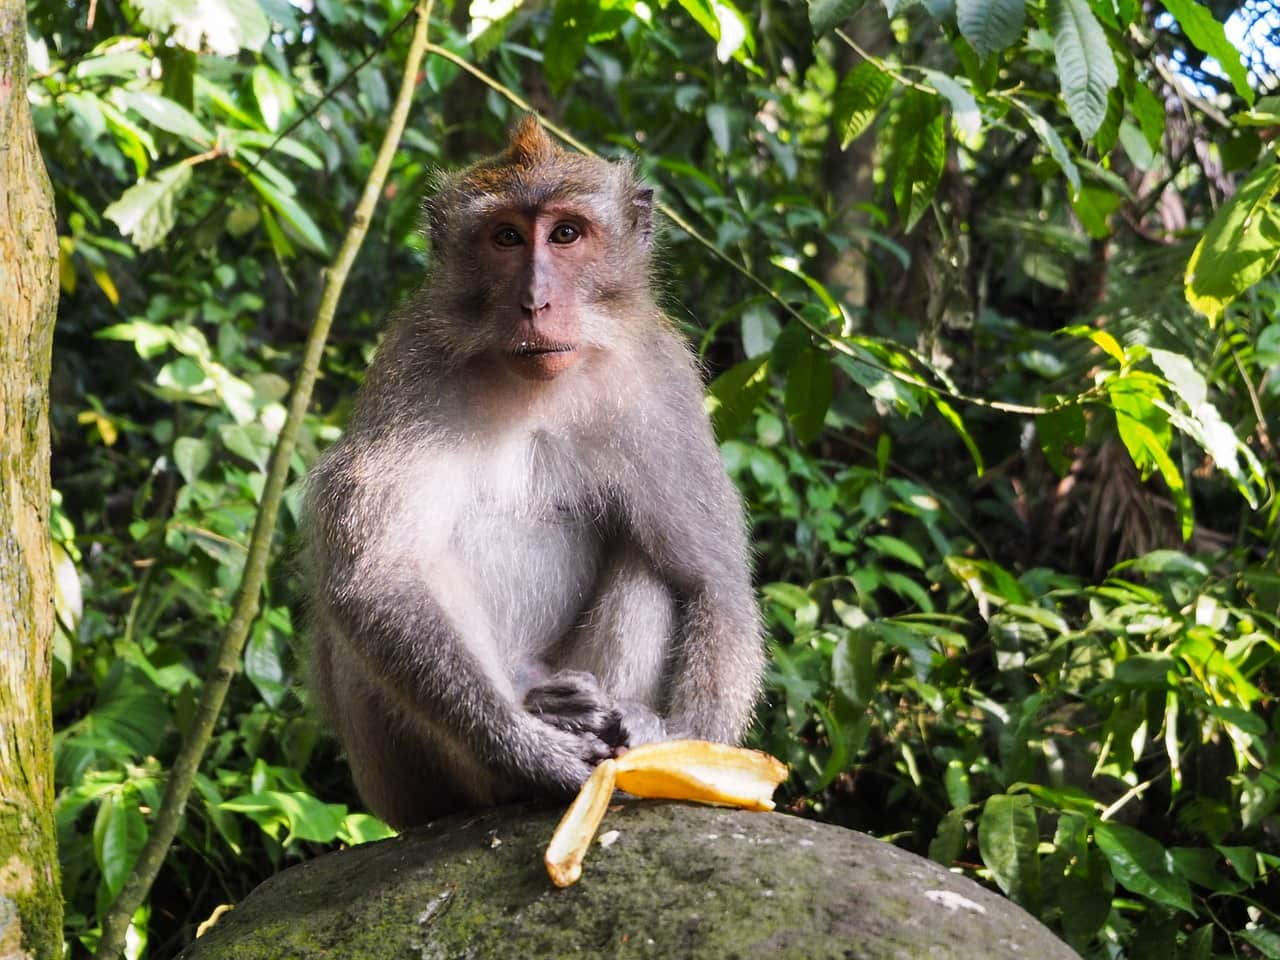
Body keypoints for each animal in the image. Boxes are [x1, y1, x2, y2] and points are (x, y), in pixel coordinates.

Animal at [302, 116, 757, 829]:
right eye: (507, 237)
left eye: (566, 234)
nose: (536, 301)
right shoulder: (411, 365)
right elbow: (377, 578)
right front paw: (528, 750)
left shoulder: (660, 379)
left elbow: (710, 578)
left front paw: (681, 745)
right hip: (398, 785)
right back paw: (534, 733)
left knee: (652, 564)